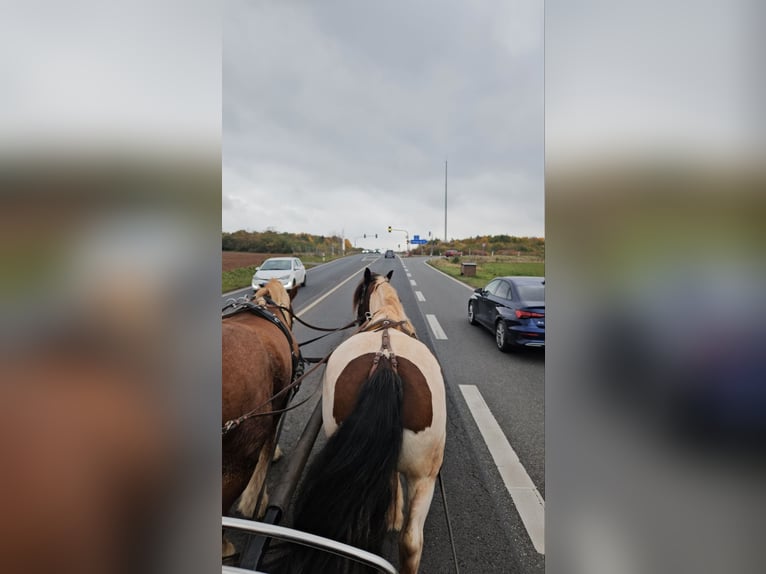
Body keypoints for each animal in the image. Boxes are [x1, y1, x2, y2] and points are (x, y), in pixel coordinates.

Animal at [284, 270, 448, 574]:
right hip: (425, 476)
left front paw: (393, 514)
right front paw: (394, 514)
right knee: (410, 542)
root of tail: (385, 360)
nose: (359, 319)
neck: (386, 317)